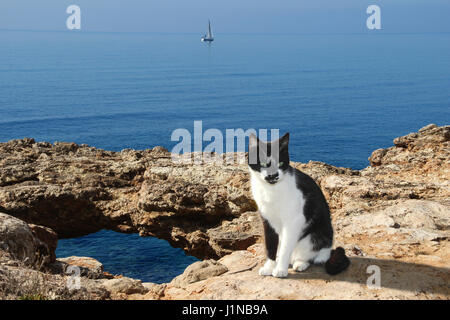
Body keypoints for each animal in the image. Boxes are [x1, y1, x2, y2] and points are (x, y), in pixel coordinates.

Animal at [248, 132, 350, 278]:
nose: (273, 175)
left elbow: (285, 248)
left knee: (313, 254)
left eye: (280, 162)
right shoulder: (267, 220)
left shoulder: (294, 221)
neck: (271, 190)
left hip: (315, 236)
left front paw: (280, 270)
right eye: (263, 163)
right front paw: (269, 267)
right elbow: (270, 245)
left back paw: (300, 263)